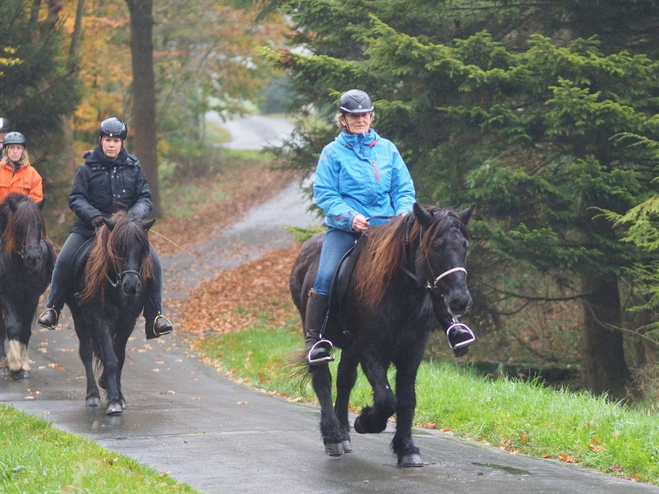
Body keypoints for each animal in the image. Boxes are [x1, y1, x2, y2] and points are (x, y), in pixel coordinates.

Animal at [0, 193, 55, 378]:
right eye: (19, 225)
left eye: (39, 225)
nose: (32, 258)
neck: (20, 265)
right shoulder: (5, 296)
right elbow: (12, 328)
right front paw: (14, 364)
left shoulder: (31, 298)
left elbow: (25, 330)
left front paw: (23, 365)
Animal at [66, 210, 155, 414]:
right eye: (117, 248)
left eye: (142, 249)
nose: (131, 285)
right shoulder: (100, 320)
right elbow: (110, 358)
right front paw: (113, 401)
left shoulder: (128, 321)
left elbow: (118, 358)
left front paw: (117, 395)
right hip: (80, 319)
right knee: (86, 353)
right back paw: (92, 395)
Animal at [290, 203, 474, 466]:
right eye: (436, 247)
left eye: (464, 246)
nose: (460, 301)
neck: (400, 293)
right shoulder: (370, 351)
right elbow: (387, 399)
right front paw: (366, 422)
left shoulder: (412, 352)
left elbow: (407, 399)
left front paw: (406, 448)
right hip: (317, 334)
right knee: (322, 377)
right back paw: (334, 436)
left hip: (351, 346)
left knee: (345, 380)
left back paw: (344, 433)